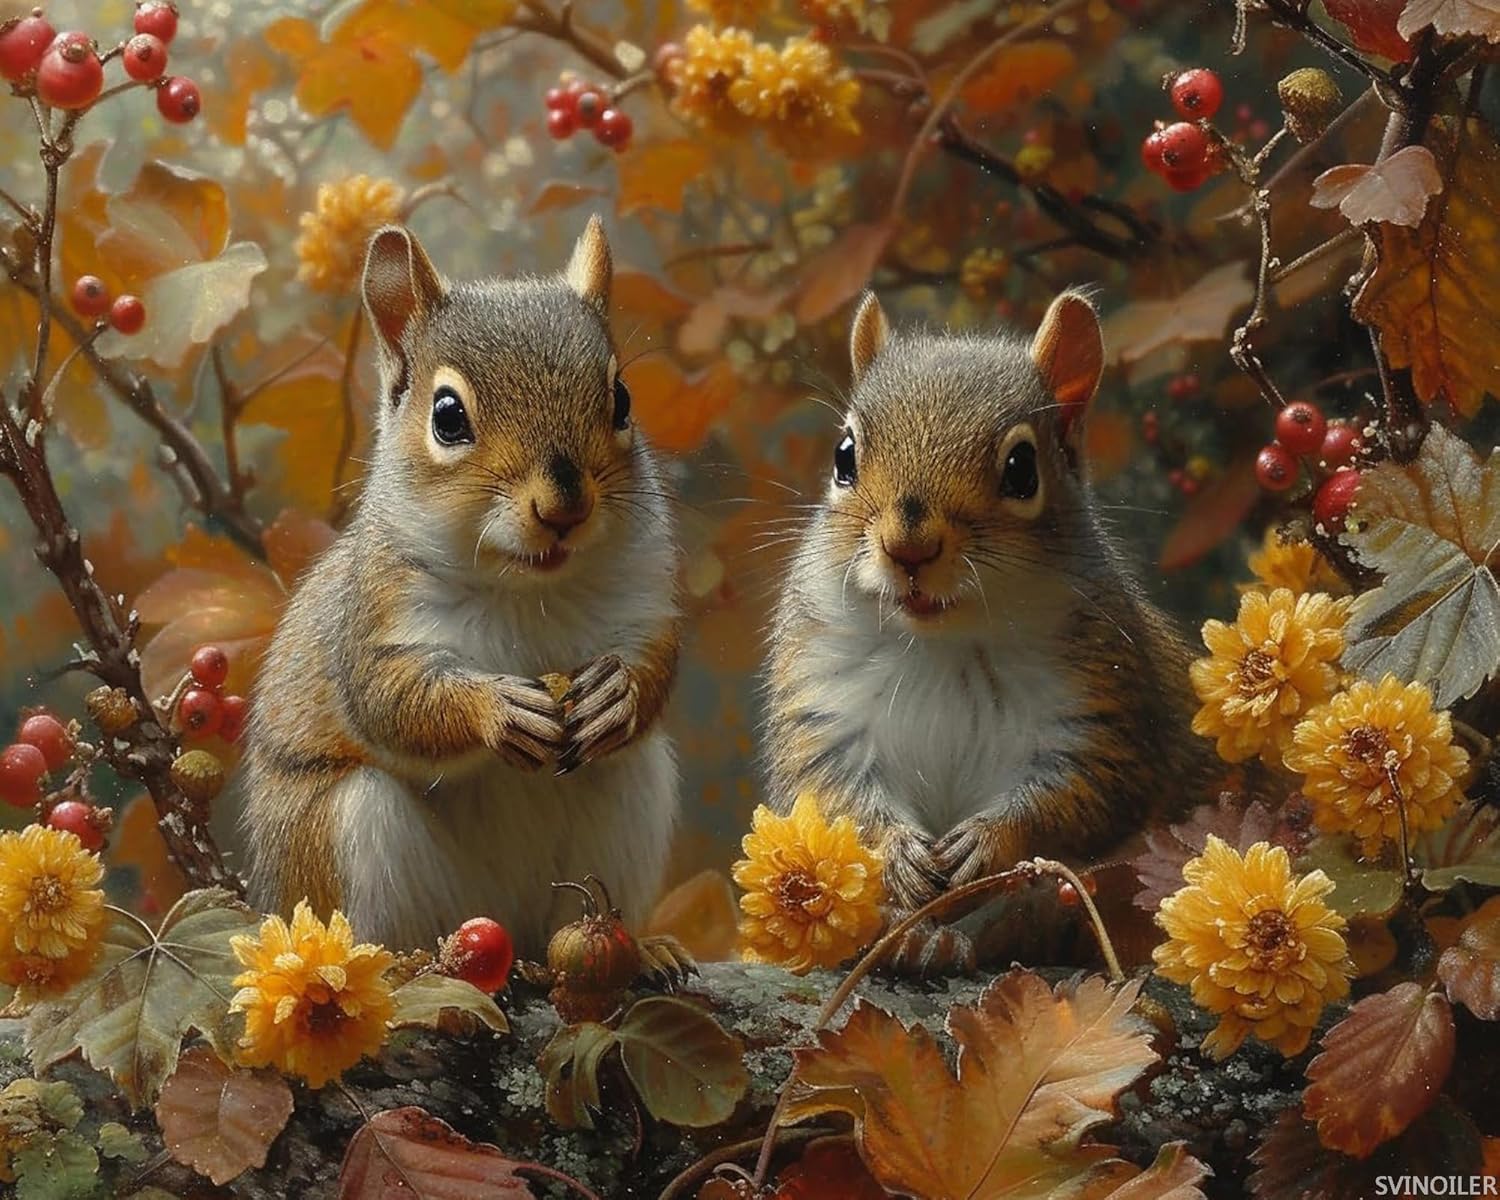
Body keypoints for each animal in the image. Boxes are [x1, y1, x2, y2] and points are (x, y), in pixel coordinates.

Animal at [240, 217, 681, 956]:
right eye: (447, 416)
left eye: (621, 401)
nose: (565, 508)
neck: (527, 588)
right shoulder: (376, 616)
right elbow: (390, 702)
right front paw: (495, 708)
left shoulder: (644, 588)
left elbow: (659, 658)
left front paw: (617, 693)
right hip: (344, 834)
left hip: (632, 792)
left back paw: (641, 950)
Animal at [764, 290, 1218, 971]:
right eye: (844, 457)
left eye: (1022, 469)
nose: (908, 547)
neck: (945, 642)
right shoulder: (825, 706)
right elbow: (833, 794)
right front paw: (897, 852)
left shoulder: (1099, 715)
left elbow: (1081, 793)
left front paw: (987, 842)